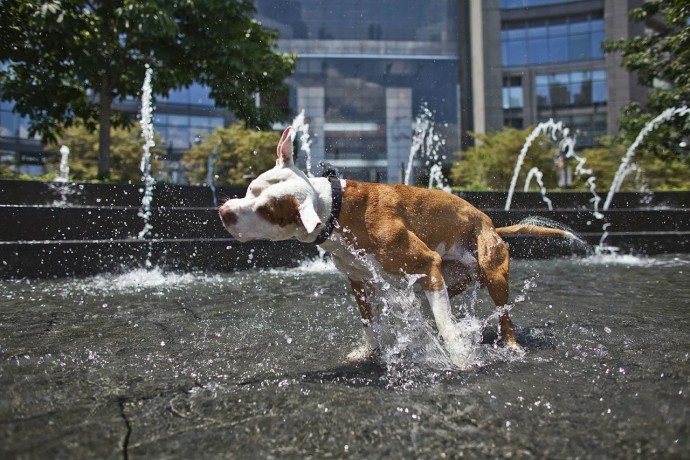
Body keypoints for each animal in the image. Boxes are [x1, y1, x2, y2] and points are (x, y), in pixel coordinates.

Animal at [218, 126, 572, 366]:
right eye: (251, 188)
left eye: (268, 211)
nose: (225, 212)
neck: (336, 209)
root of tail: (490, 223)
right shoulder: (360, 280)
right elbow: (371, 323)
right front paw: (369, 350)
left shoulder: (425, 262)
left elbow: (447, 326)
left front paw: (460, 357)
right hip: (446, 279)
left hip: (491, 273)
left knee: (502, 315)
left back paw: (510, 344)